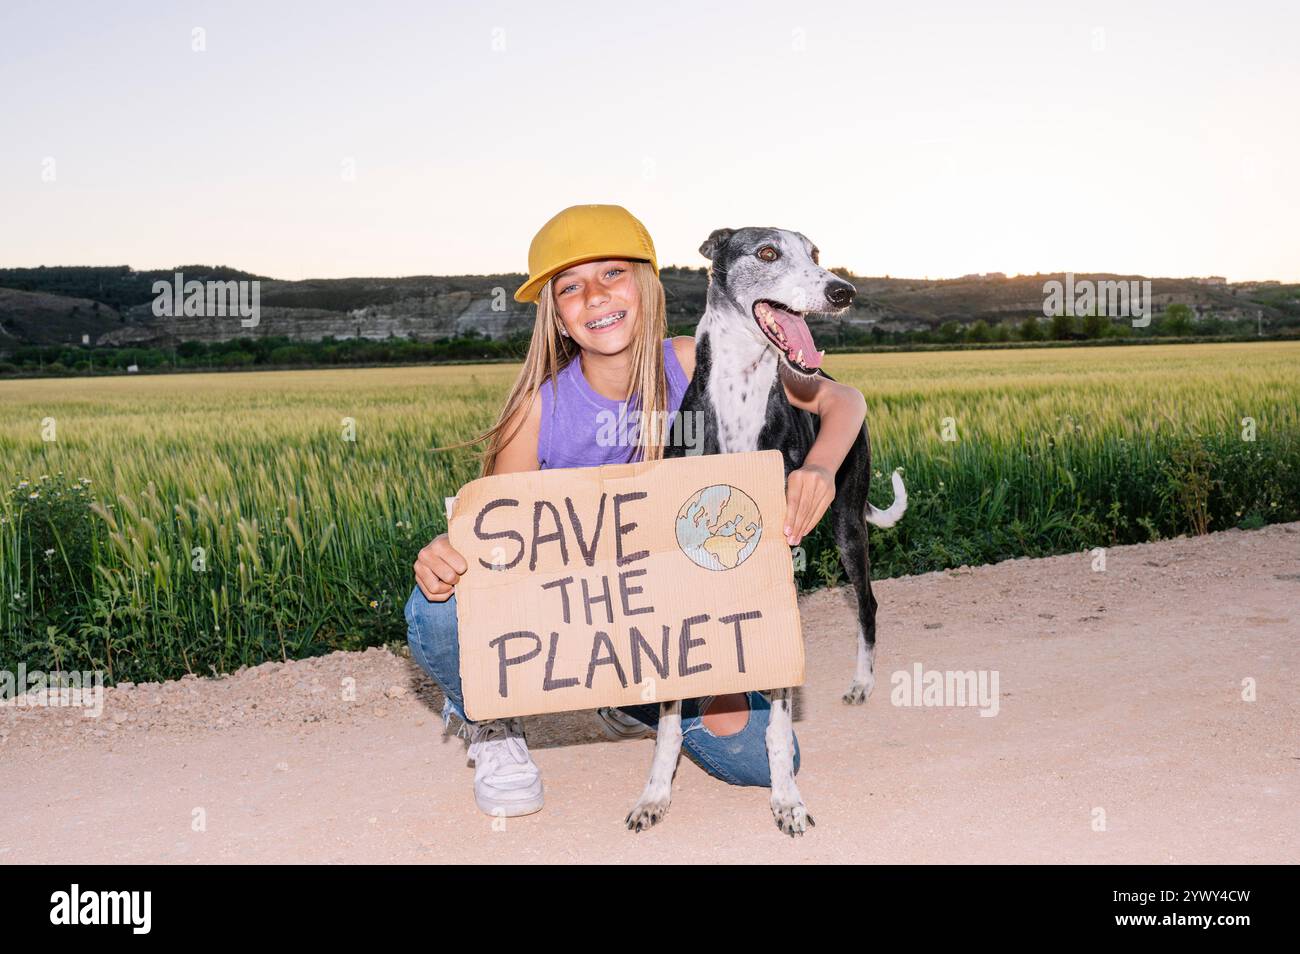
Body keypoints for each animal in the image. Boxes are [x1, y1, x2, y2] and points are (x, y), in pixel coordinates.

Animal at [626, 227, 909, 842]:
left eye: (816, 254)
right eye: (768, 252)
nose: (843, 291)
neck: (740, 398)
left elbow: (778, 724)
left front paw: (787, 801)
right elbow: (669, 716)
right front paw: (655, 794)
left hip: (847, 524)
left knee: (868, 605)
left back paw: (862, 682)